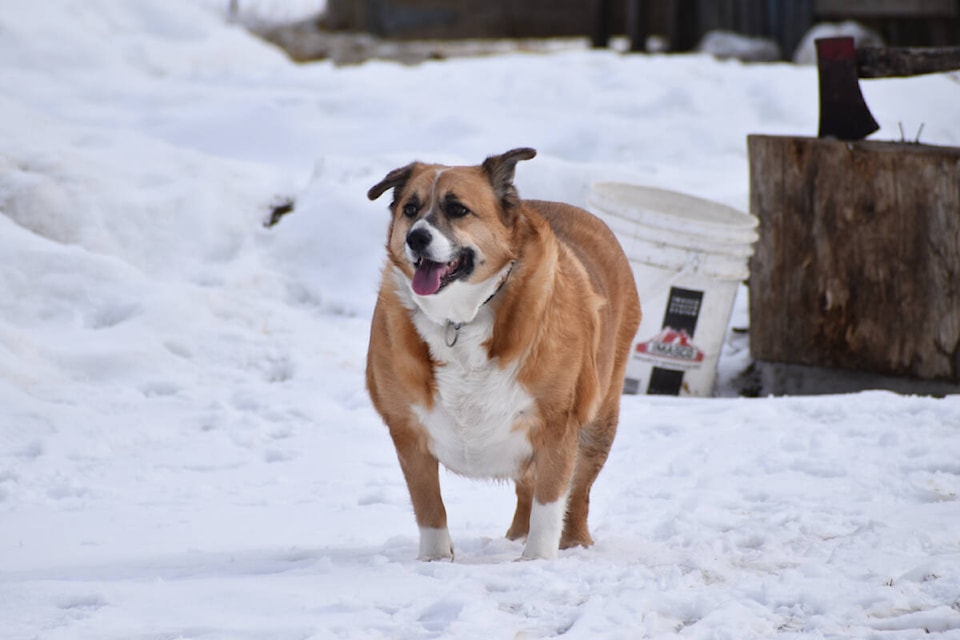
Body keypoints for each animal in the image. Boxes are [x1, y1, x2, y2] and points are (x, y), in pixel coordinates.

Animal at [364, 150, 640, 560]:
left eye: (458, 209)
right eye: (410, 209)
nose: (416, 238)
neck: (459, 319)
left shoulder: (557, 425)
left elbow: (550, 504)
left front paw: (537, 561)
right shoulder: (407, 432)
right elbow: (430, 507)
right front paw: (434, 561)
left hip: (598, 422)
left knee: (577, 491)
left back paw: (573, 542)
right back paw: (514, 536)